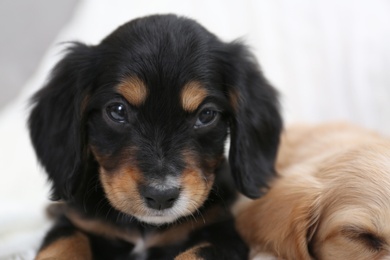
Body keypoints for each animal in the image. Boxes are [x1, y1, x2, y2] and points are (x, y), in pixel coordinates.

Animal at [29, 14, 282, 260]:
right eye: (118, 110)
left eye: (206, 114)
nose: (161, 196)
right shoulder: (75, 223)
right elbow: (64, 244)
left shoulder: (224, 236)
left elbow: (195, 254)